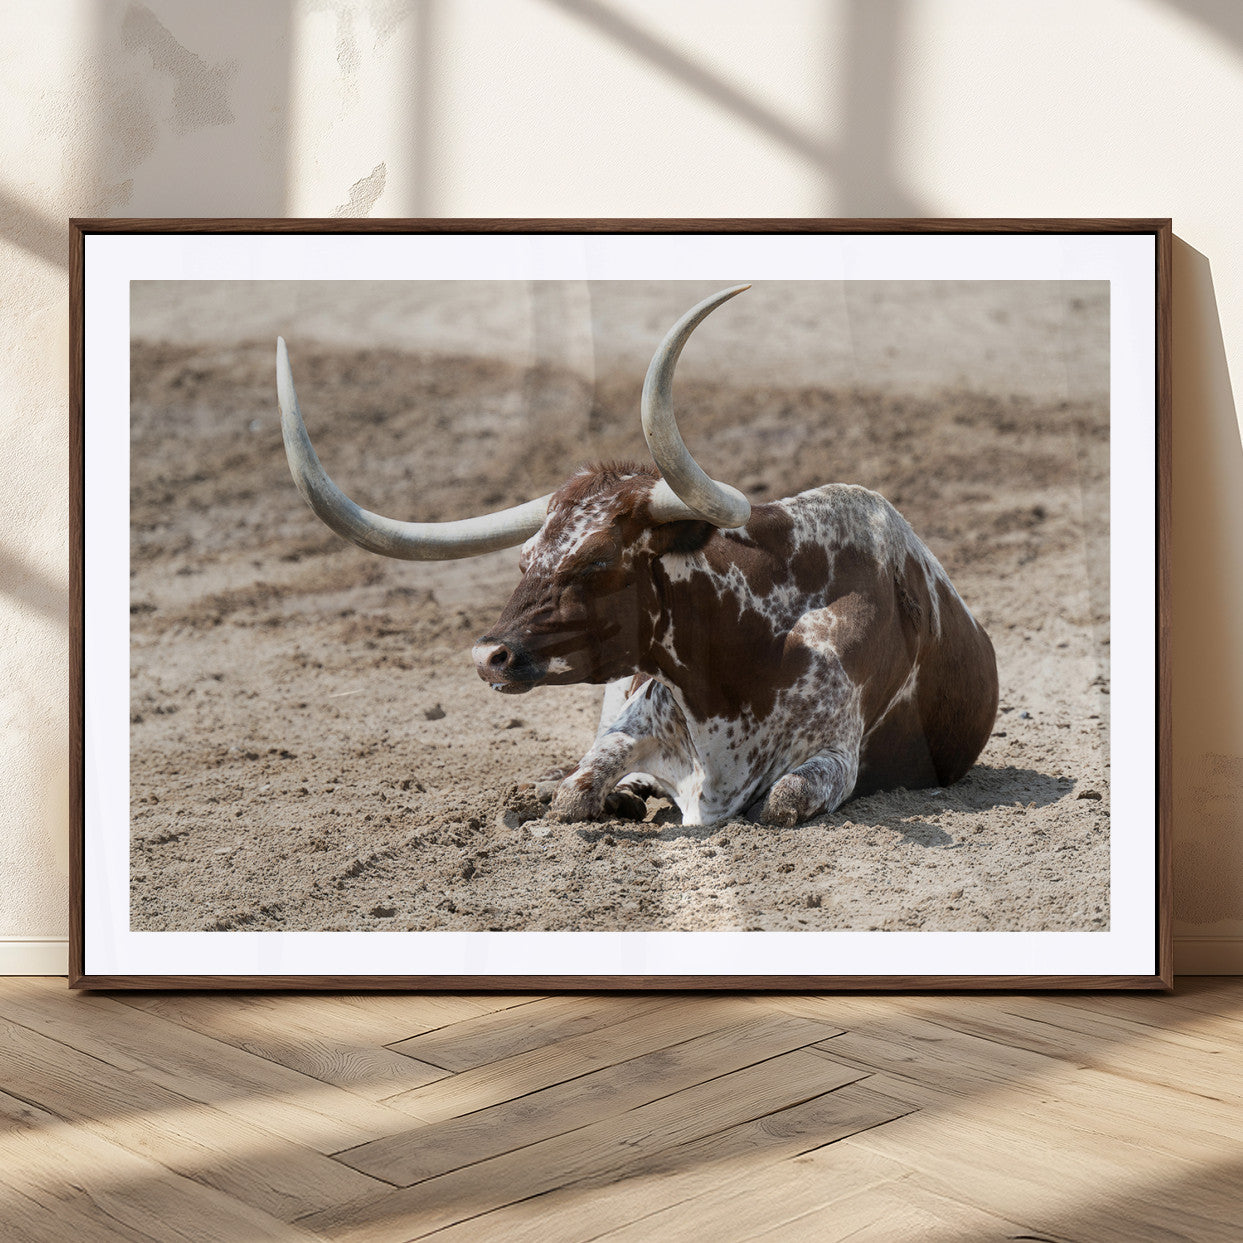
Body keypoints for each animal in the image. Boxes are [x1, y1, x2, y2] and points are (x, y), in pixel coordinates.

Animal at [278, 285, 998, 827]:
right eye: (525, 559)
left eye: (598, 561)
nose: (488, 655)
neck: (747, 651)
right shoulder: (631, 720)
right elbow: (578, 787)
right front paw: (585, 793)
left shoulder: (833, 758)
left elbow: (782, 800)